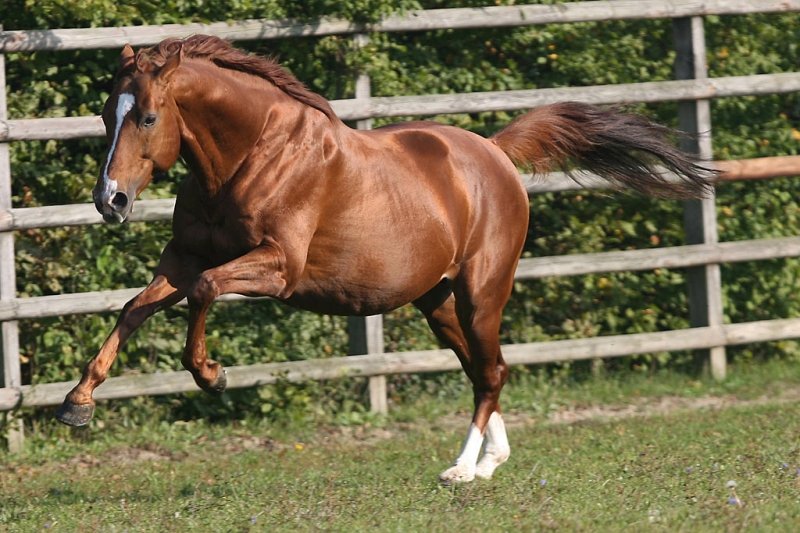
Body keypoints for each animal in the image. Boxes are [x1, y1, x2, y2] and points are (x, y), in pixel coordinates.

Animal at [56, 35, 710, 484]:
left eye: (146, 117)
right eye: (105, 114)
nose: (110, 201)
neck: (249, 154)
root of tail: (495, 153)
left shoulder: (278, 267)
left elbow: (206, 291)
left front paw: (211, 374)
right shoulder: (182, 258)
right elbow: (135, 309)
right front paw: (77, 405)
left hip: (482, 292)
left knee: (491, 371)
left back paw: (462, 470)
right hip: (438, 303)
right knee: (484, 370)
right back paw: (489, 462)